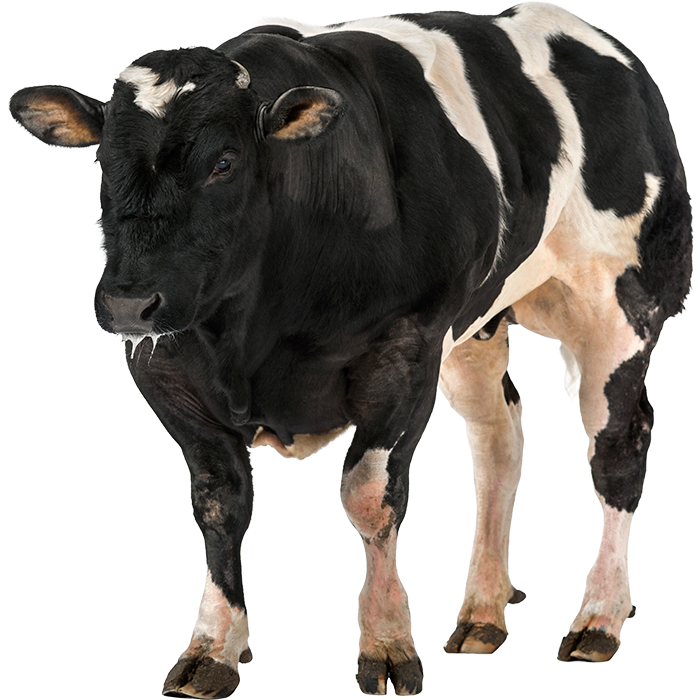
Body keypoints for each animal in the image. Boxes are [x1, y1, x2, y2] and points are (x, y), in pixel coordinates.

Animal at [9, 2, 692, 698]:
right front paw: (214, 647)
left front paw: (386, 643)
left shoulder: (407, 346)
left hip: (622, 303)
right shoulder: (165, 368)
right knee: (498, 441)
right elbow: (219, 504)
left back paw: (599, 617)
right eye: (102, 161)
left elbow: (369, 494)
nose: (127, 303)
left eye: (224, 162)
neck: (252, 335)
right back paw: (482, 612)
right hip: (477, 325)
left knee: (618, 445)